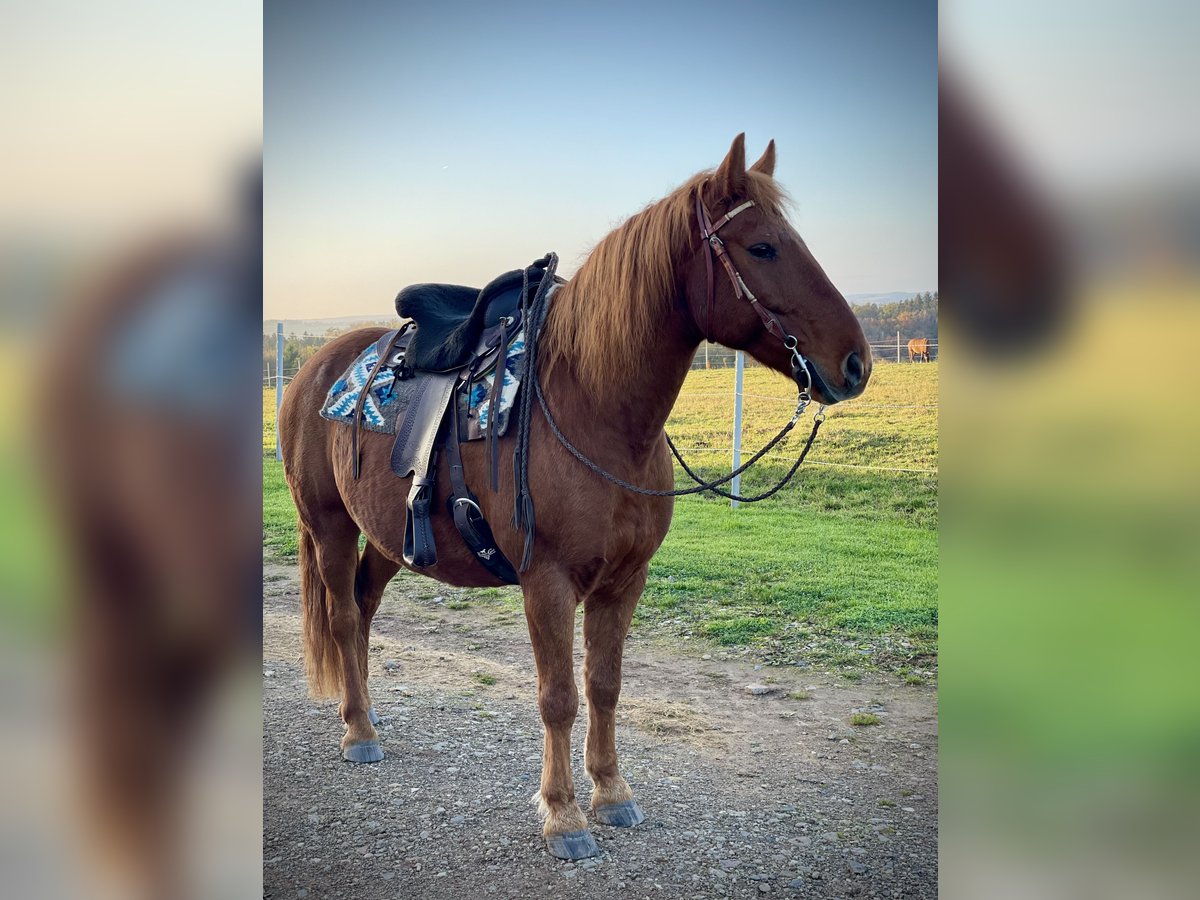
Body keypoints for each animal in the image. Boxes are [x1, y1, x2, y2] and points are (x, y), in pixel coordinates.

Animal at [278, 133, 873, 859]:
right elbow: (558, 695)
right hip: (328, 525)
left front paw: (612, 793)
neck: (593, 405)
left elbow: (605, 686)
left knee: (362, 610)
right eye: (762, 247)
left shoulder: (625, 580)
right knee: (341, 617)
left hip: (391, 541)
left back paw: (363, 714)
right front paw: (563, 815)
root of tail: (319, 365)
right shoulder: (548, 581)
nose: (856, 364)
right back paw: (359, 733)